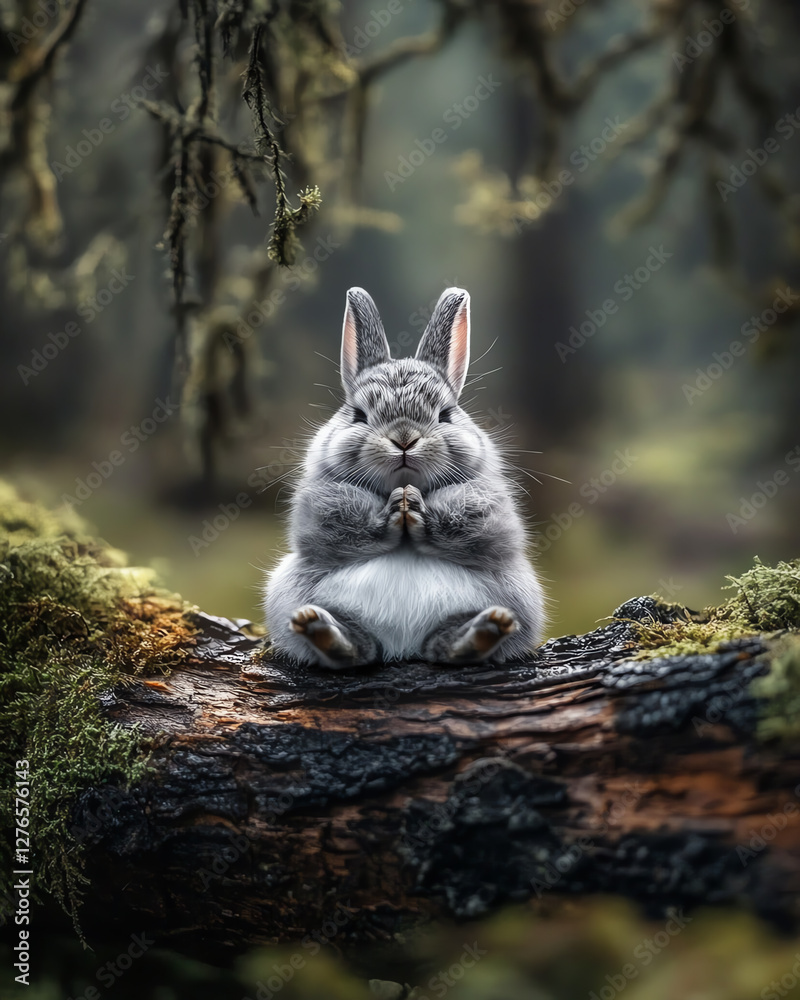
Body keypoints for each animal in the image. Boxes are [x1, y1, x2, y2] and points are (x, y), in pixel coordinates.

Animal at [264, 286, 546, 668]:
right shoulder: (320, 504)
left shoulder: (489, 504)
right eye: (359, 415)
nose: (404, 439)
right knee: (359, 650)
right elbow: (333, 528)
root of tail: (402, 644)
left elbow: (481, 530)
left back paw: (482, 631)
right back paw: (325, 631)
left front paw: (415, 508)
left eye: (445, 415)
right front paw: (395, 510)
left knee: (444, 646)